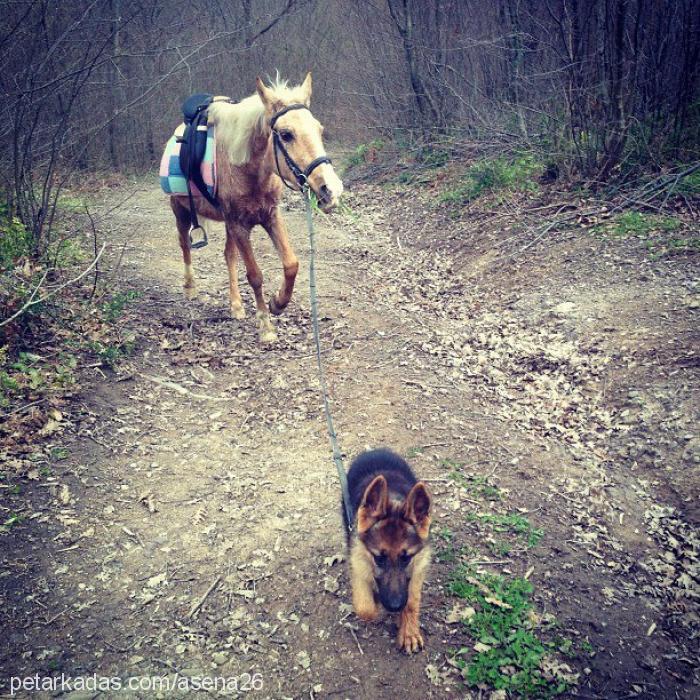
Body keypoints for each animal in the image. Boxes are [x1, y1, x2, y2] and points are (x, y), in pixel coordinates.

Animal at [167, 73, 342, 342]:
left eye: (319, 130)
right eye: (286, 134)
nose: (331, 189)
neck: (247, 169)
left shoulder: (270, 217)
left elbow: (291, 264)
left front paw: (277, 303)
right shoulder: (240, 226)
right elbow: (255, 275)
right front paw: (266, 325)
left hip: (227, 224)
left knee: (229, 256)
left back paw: (236, 305)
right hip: (181, 210)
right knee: (185, 245)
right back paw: (190, 287)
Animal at [344, 452, 432, 652]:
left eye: (406, 558)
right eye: (379, 558)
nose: (394, 606)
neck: (393, 498)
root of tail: (374, 451)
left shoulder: (418, 567)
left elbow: (412, 601)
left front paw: (409, 632)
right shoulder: (359, 565)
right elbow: (365, 609)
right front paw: (376, 605)